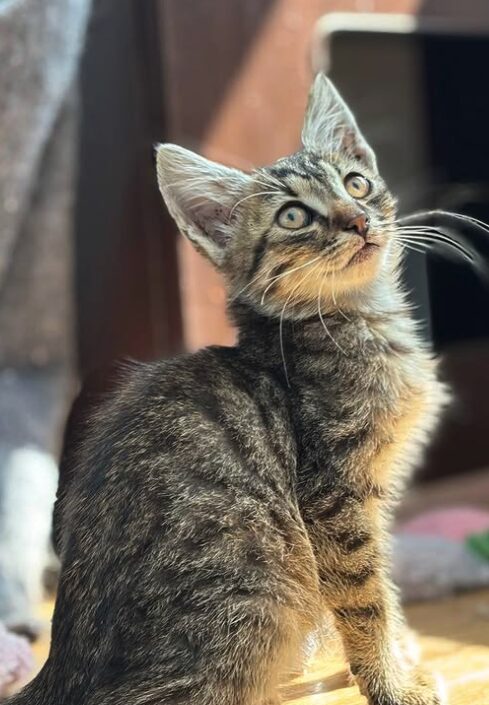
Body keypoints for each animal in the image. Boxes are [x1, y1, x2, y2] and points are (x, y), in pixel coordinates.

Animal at [10, 75, 446, 704]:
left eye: (356, 184)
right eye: (294, 216)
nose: (359, 221)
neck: (353, 320)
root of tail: (63, 669)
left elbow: (378, 585)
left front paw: (396, 655)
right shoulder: (334, 499)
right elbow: (363, 596)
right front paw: (390, 680)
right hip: (254, 596)